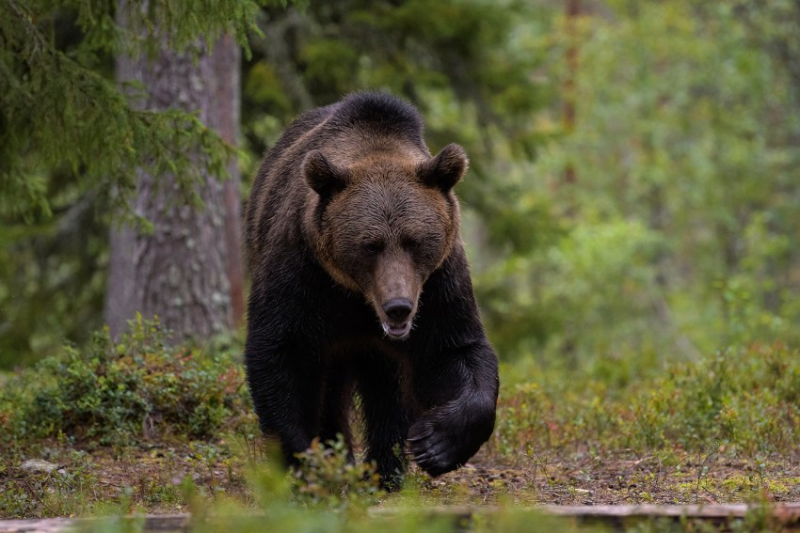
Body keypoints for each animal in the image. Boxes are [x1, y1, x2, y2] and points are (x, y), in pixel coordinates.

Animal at [244, 90, 496, 486]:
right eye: (370, 245)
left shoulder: (439, 283)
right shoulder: (302, 273)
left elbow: (453, 350)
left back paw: (385, 470)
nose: (399, 306)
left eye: (414, 241)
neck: (357, 298)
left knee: (387, 389)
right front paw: (306, 462)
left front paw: (436, 444)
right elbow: (281, 353)